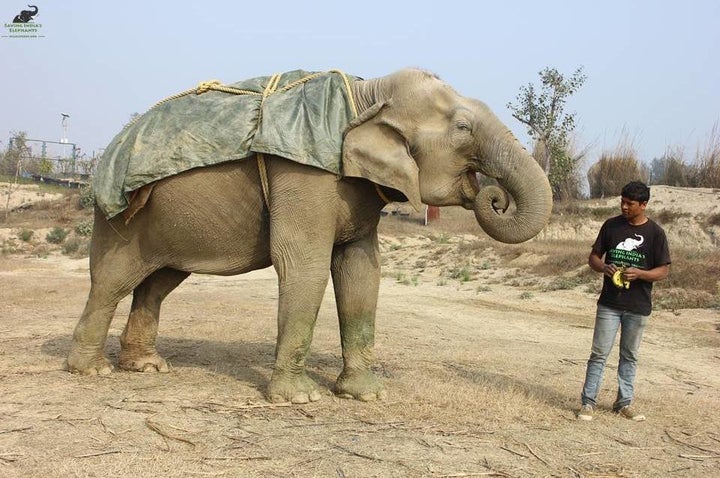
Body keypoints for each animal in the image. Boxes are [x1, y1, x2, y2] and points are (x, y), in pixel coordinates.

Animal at [66, 67, 552, 404]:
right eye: (463, 129)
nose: (493, 196)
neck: (364, 95)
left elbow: (361, 271)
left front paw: (367, 395)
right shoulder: (304, 175)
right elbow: (304, 264)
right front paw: (299, 399)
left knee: (157, 283)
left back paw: (147, 368)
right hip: (121, 221)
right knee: (112, 281)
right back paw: (92, 372)